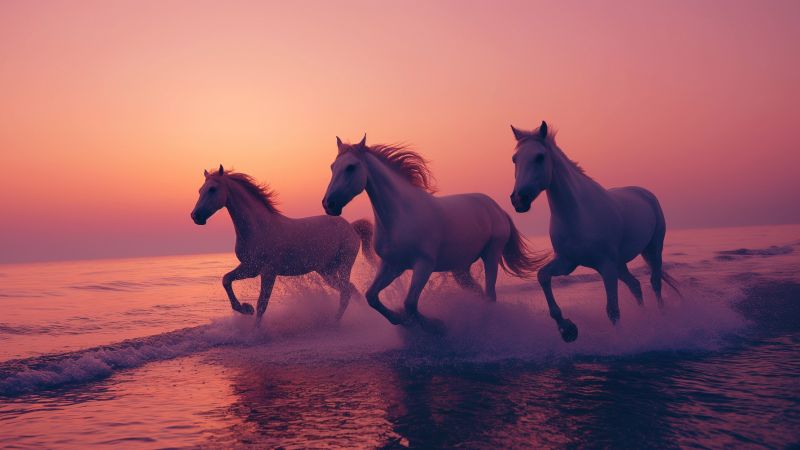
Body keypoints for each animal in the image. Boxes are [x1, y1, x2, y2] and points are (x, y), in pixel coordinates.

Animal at [191, 165, 375, 324]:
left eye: (212, 189)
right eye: (200, 190)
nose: (195, 216)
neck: (259, 227)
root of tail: (351, 227)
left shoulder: (268, 271)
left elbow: (262, 304)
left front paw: (255, 331)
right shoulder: (250, 267)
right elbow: (226, 280)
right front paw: (245, 309)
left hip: (344, 265)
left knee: (345, 293)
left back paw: (334, 322)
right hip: (327, 271)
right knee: (351, 290)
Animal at [322, 135, 547, 334]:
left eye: (351, 167)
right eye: (333, 167)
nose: (328, 204)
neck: (401, 216)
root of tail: (496, 207)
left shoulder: (424, 264)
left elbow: (410, 303)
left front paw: (437, 327)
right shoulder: (391, 265)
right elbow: (372, 297)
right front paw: (400, 320)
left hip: (491, 254)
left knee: (490, 295)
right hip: (460, 269)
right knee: (480, 293)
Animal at [509, 121, 678, 342]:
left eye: (539, 157)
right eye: (515, 159)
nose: (518, 200)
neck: (579, 215)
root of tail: (645, 193)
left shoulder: (605, 266)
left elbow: (613, 311)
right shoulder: (567, 262)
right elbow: (543, 276)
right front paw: (567, 329)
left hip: (653, 248)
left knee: (655, 282)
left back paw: (661, 318)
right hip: (620, 264)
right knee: (635, 285)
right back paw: (645, 319)